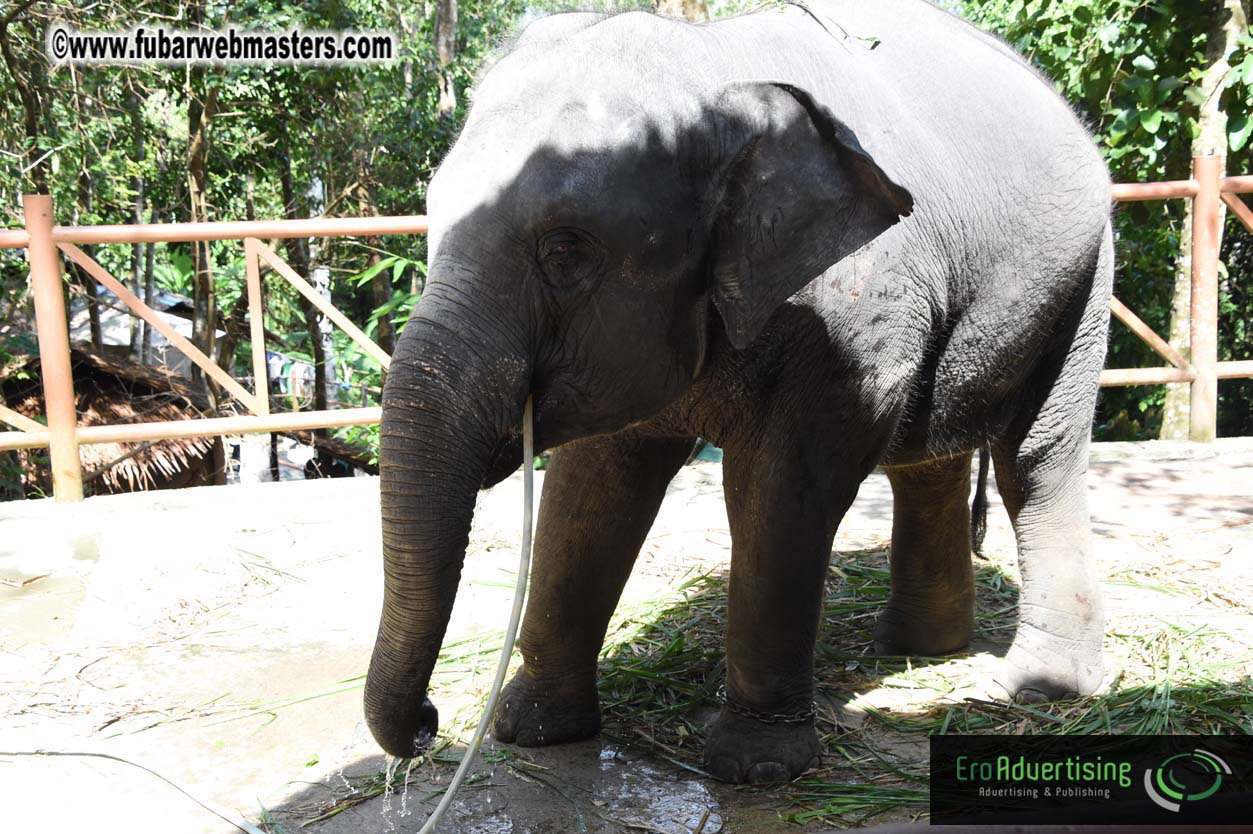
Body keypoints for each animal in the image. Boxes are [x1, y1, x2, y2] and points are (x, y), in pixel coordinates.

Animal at [364, 0, 1113, 785]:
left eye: (566, 248)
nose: (428, 724)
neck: (714, 68)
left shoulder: (847, 314)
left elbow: (778, 488)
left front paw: (753, 768)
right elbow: (591, 489)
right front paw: (532, 728)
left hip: (1083, 277)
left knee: (1036, 459)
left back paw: (1033, 688)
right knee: (928, 459)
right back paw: (916, 651)